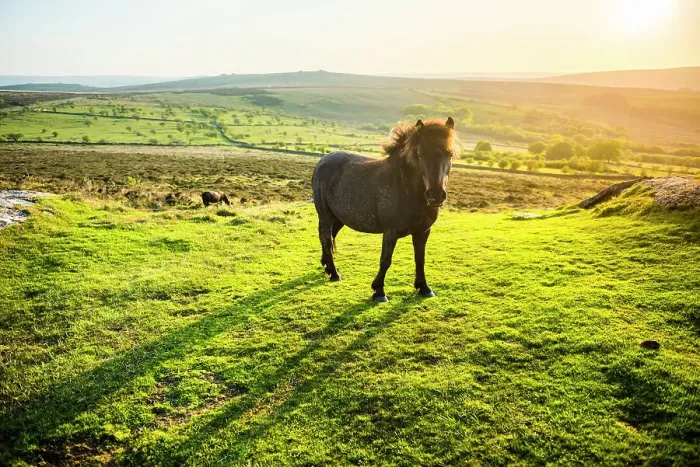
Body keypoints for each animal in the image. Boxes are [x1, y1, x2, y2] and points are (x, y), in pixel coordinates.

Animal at [312, 117, 458, 301]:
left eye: (450, 154)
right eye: (420, 154)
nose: (436, 195)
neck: (406, 188)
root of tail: (323, 161)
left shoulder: (423, 231)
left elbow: (420, 259)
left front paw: (424, 287)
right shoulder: (391, 232)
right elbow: (385, 260)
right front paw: (379, 291)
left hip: (338, 218)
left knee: (329, 237)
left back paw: (327, 266)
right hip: (326, 215)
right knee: (327, 239)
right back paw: (334, 273)